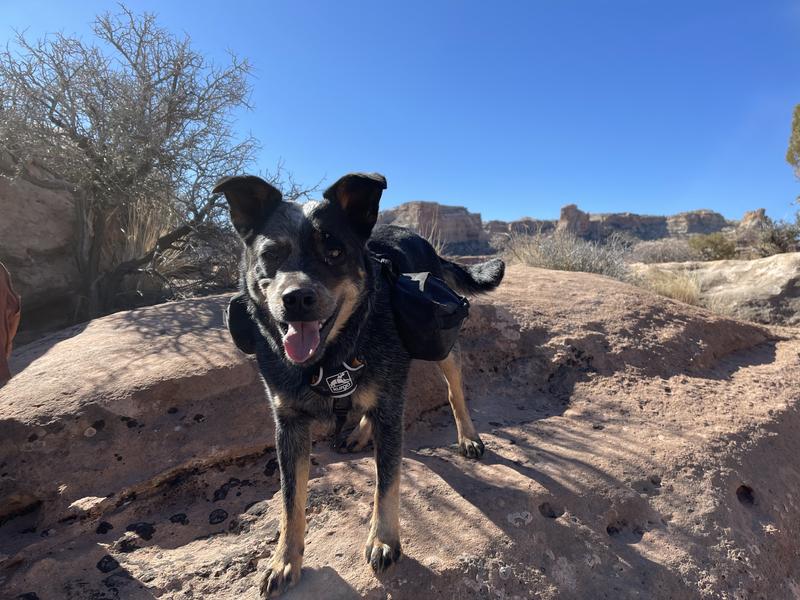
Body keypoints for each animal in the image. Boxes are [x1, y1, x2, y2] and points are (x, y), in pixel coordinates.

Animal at [211, 171, 500, 596]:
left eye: (334, 252)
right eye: (272, 254)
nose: (297, 298)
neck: (327, 359)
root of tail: (412, 232)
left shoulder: (389, 402)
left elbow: (387, 482)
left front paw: (383, 540)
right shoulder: (288, 424)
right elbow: (290, 501)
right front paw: (284, 560)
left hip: (439, 345)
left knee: (453, 388)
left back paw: (467, 436)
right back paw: (360, 433)